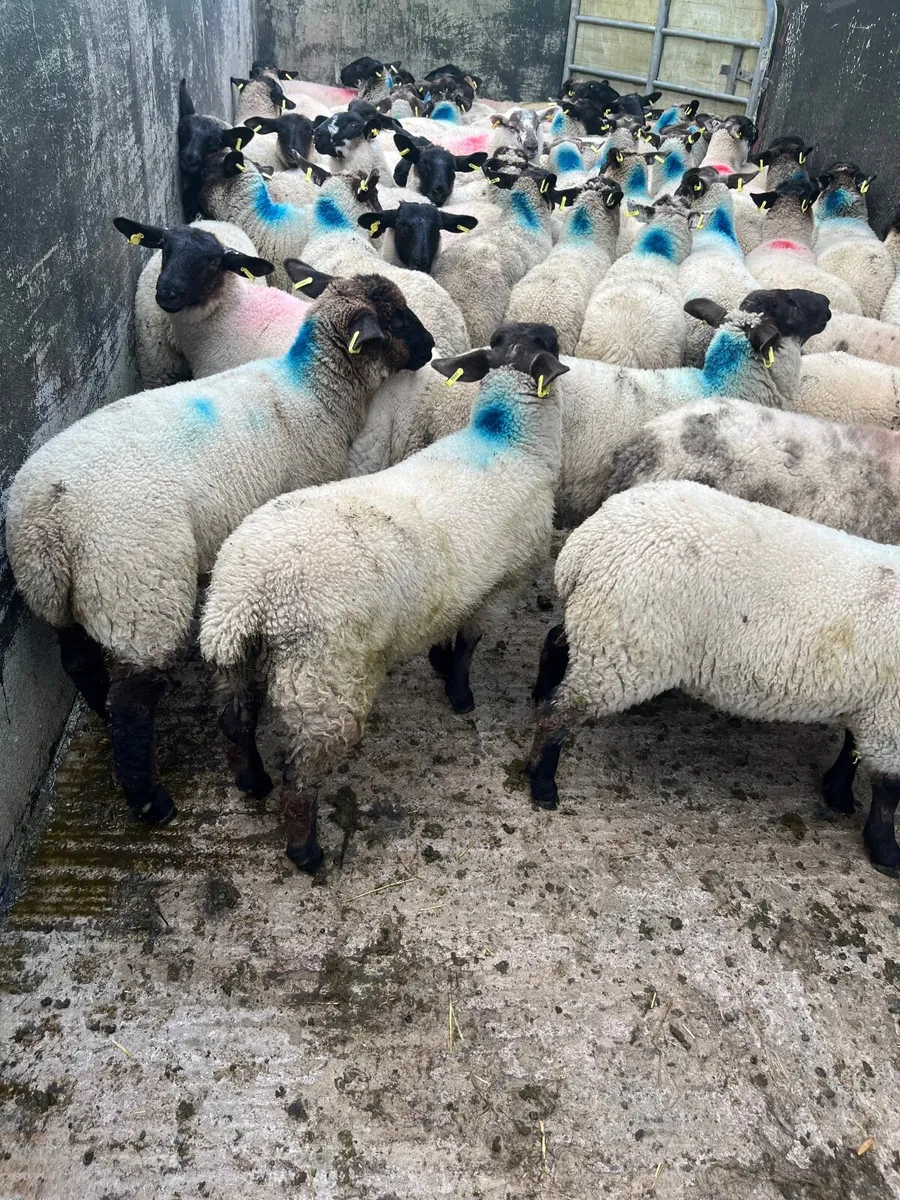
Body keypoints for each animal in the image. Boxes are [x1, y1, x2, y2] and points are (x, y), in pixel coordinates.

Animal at [6, 275, 434, 827]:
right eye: (397, 318)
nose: (430, 348)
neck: (313, 393)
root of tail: (44, 518)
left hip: (58, 593)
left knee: (79, 661)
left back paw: (101, 714)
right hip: (137, 583)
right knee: (134, 700)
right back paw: (151, 801)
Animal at [199, 330, 568, 872]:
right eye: (550, 341)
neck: (506, 439)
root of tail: (245, 595)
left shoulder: (461, 587)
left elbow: (449, 629)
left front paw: (439, 662)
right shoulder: (501, 588)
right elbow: (469, 645)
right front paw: (461, 696)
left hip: (236, 662)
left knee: (235, 725)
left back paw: (252, 783)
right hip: (325, 682)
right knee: (300, 776)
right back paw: (306, 853)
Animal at [525, 479, 900, 873]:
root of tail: (584, 545)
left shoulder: (872, 701)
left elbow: (853, 749)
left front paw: (838, 794)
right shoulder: (889, 714)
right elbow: (889, 789)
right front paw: (886, 851)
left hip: (604, 630)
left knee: (556, 644)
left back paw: (540, 694)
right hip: (626, 648)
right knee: (561, 712)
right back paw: (542, 783)